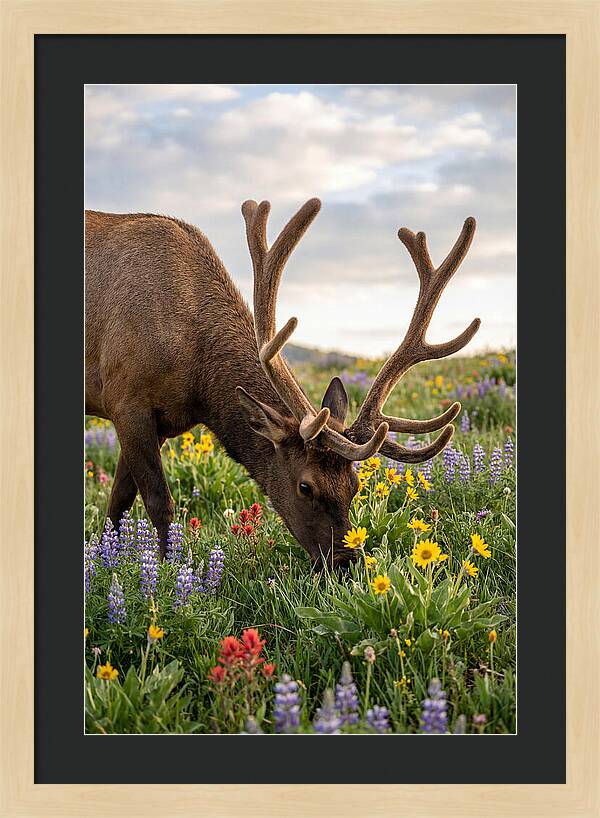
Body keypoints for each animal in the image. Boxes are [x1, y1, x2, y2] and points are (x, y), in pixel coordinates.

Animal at [85, 198, 480, 566]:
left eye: (354, 485)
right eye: (305, 486)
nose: (345, 562)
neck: (199, 381)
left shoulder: (163, 421)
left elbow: (118, 503)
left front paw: (108, 559)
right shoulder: (126, 399)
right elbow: (157, 502)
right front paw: (166, 571)